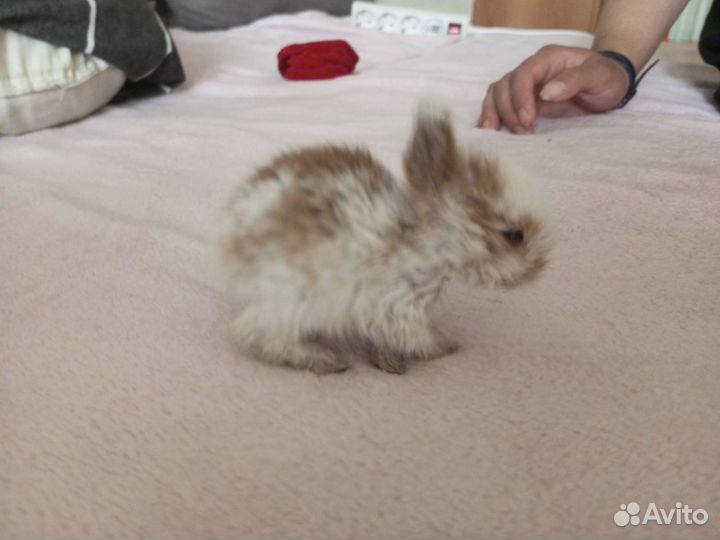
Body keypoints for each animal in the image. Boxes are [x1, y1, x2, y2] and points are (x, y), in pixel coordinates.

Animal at [221, 100, 551, 374]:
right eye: (514, 235)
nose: (540, 267)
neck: (428, 242)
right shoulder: (398, 308)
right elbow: (417, 338)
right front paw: (444, 348)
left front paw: (388, 360)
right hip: (289, 297)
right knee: (257, 336)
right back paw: (326, 360)